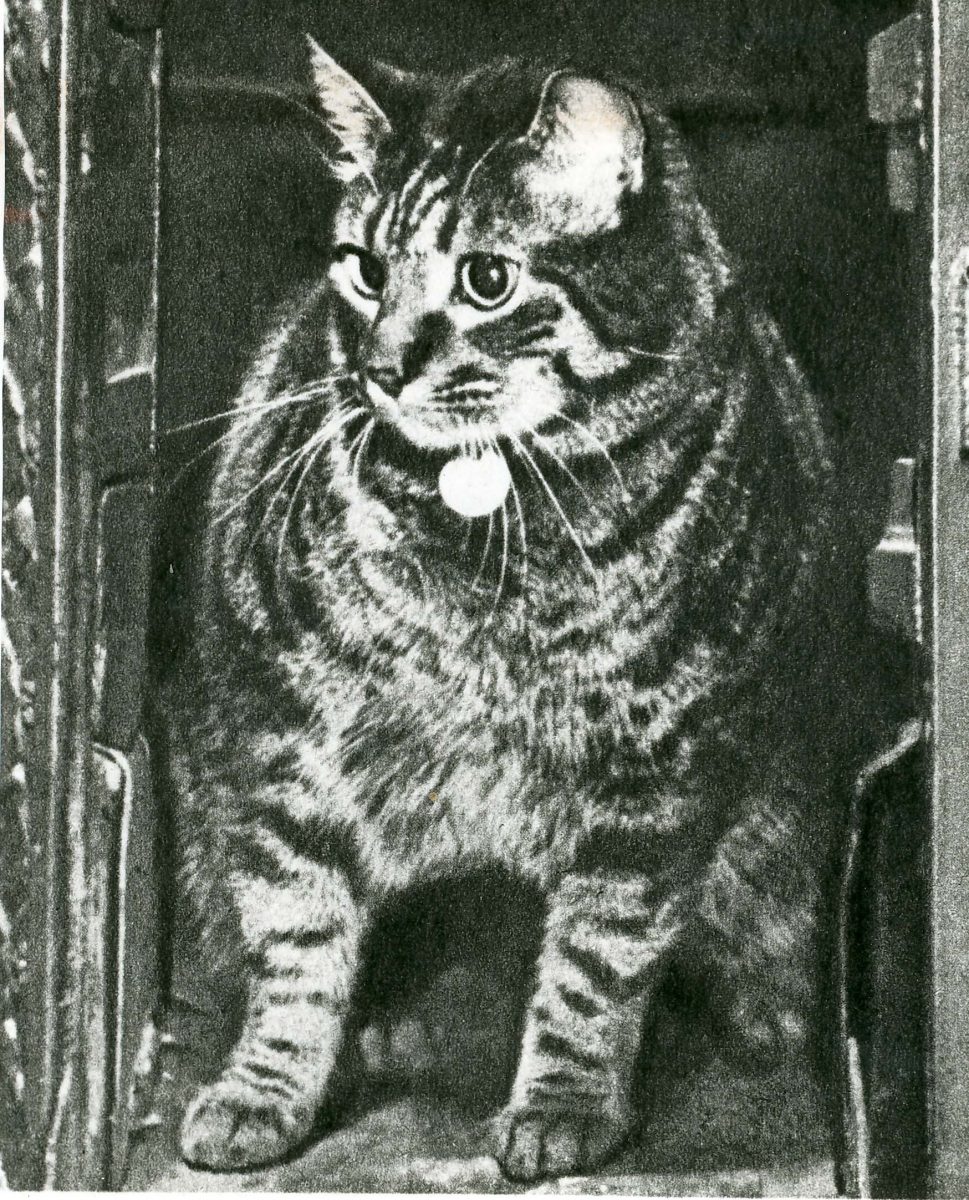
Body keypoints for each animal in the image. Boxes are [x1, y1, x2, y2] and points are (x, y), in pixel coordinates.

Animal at [172, 39, 849, 1180]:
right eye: (363, 268)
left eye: (486, 280)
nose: (381, 369)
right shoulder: (280, 738)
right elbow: (295, 942)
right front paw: (264, 1091)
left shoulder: (657, 784)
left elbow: (594, 967)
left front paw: (564, 1104)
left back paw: (761, 1016)